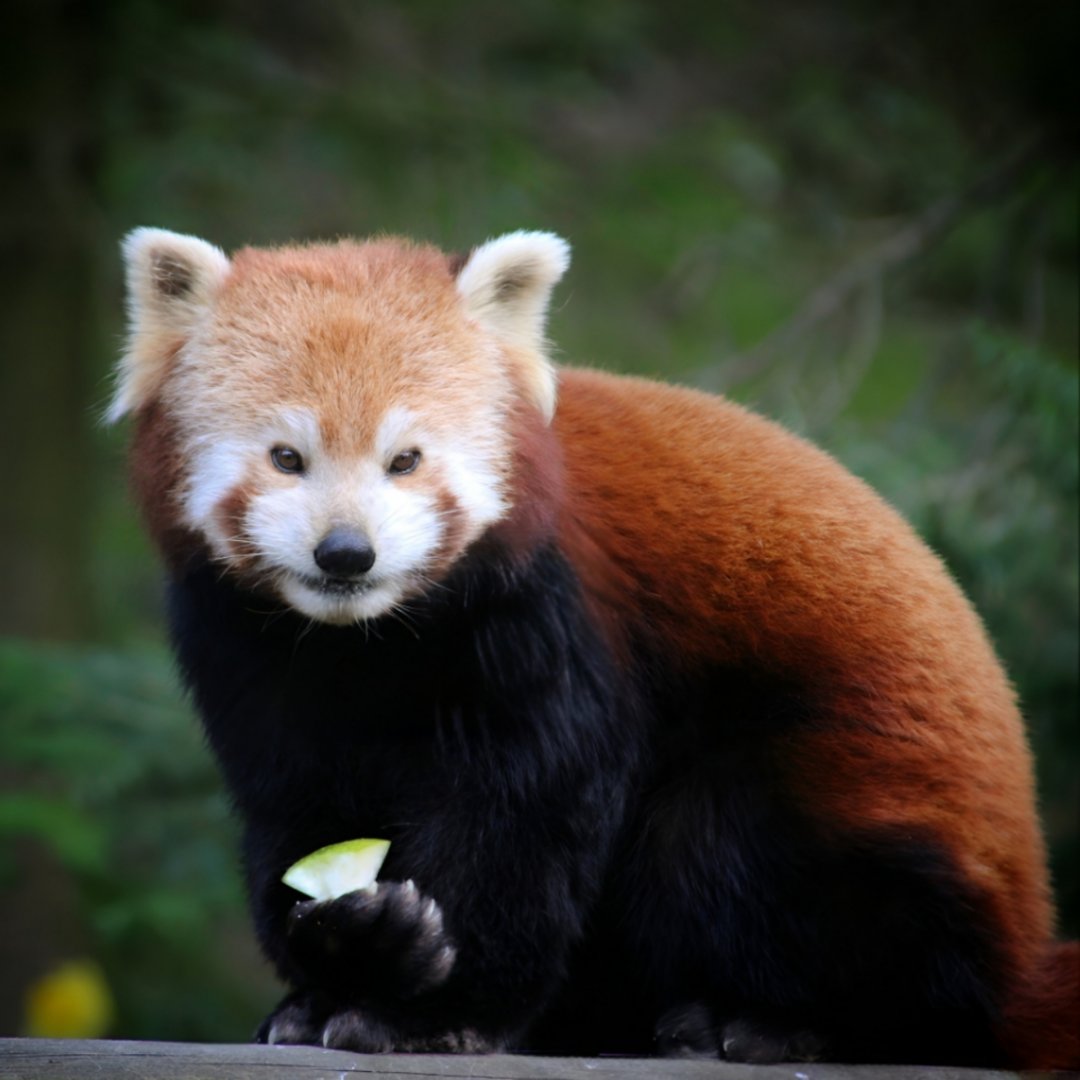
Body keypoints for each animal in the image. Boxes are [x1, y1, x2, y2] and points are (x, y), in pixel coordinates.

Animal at [109, 226, 1078, 1066]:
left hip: (857, 799)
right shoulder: (249, 646)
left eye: (405, 461)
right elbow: (297, 802)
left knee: (729, 838)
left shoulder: (553, 612)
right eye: (287, 458)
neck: (373, 640)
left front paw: (427, 1008)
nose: (346, 553)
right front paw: (343, 956)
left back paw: (775, 1023)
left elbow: (529, 805)